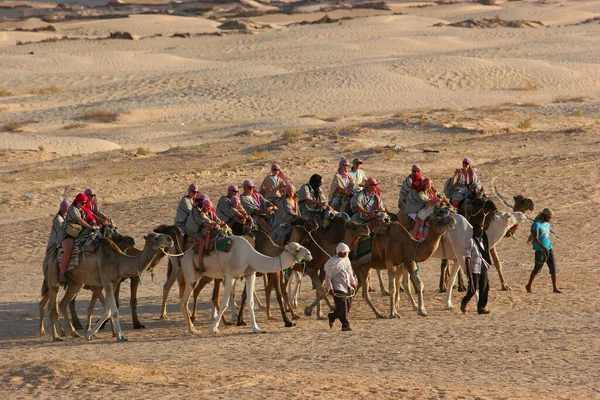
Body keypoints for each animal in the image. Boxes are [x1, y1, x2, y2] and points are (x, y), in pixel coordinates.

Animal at [177, 238, 310, 334]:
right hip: (190, 271)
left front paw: (256, 328)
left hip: (200, 273)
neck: (249, 256)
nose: (309, 254)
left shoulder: (250, 274)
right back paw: (192, 329)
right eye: (296, 249)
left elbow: (250, 302)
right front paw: (213, 329)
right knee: (184, 300)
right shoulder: (230, 276)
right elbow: (225, 303)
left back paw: (191, 326)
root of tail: (183, 255)